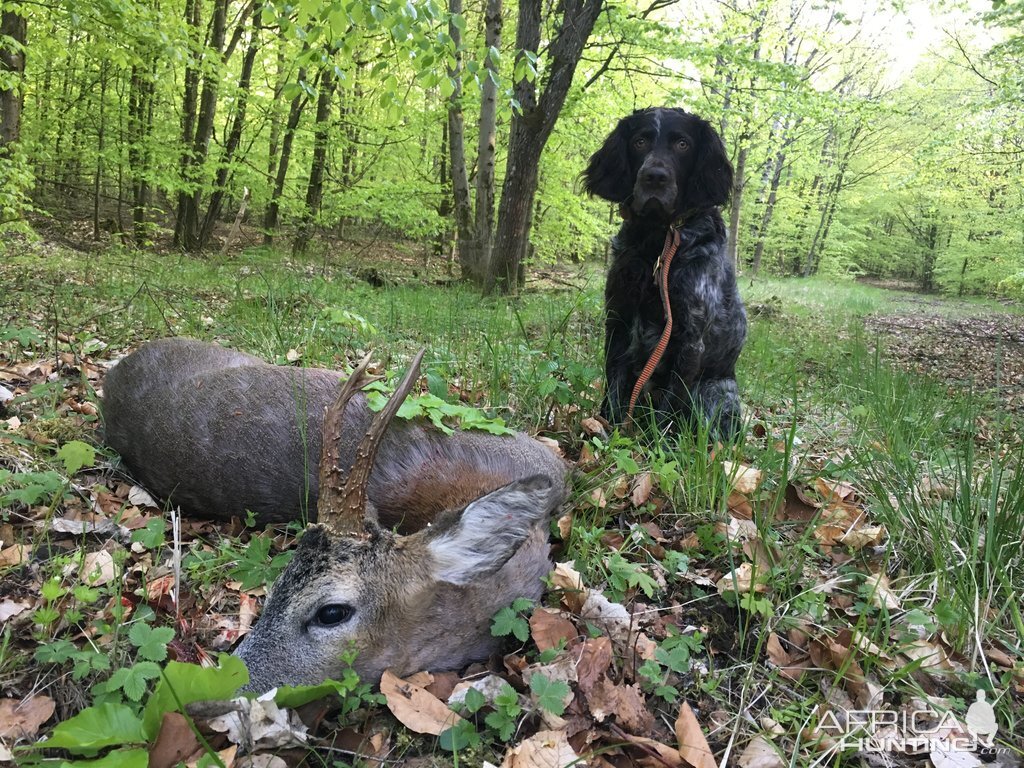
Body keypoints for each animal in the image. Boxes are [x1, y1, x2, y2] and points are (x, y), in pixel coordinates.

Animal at [585, 108, 745, 438]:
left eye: (683, 144)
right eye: (640, 141)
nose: (655, 177)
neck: (657, 245)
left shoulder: (690, 339)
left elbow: (671, 407)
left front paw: (658, 444)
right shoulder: (618, 321)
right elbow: (613, 385)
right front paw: (605, 426)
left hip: (715, 392)